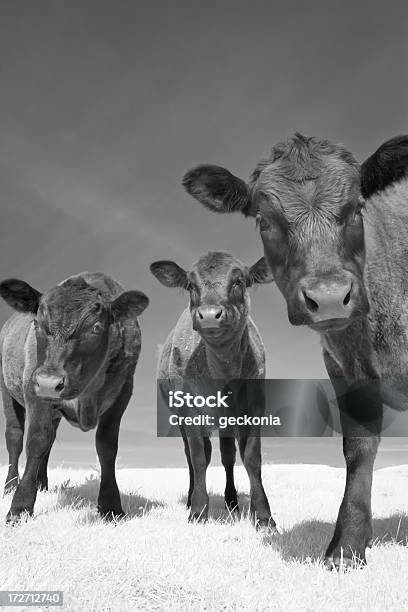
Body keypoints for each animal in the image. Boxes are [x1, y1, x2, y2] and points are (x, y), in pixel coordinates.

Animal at [149, 252, 274, 532]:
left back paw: (232, 501)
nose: (208, 315)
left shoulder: (254, 405)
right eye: (190, 285)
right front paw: (198, 510)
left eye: (239, 281)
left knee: (228, 456)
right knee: (192, 456)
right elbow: (198, 458)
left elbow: (251, 457)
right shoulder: (189, 411)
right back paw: (192, 497)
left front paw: (263, 515)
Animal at [183, 134, 408, 568]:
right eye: (264, 221)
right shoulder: (344, 371)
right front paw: (347, 546)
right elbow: (358, 447)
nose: (331, 297)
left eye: (357, 209)